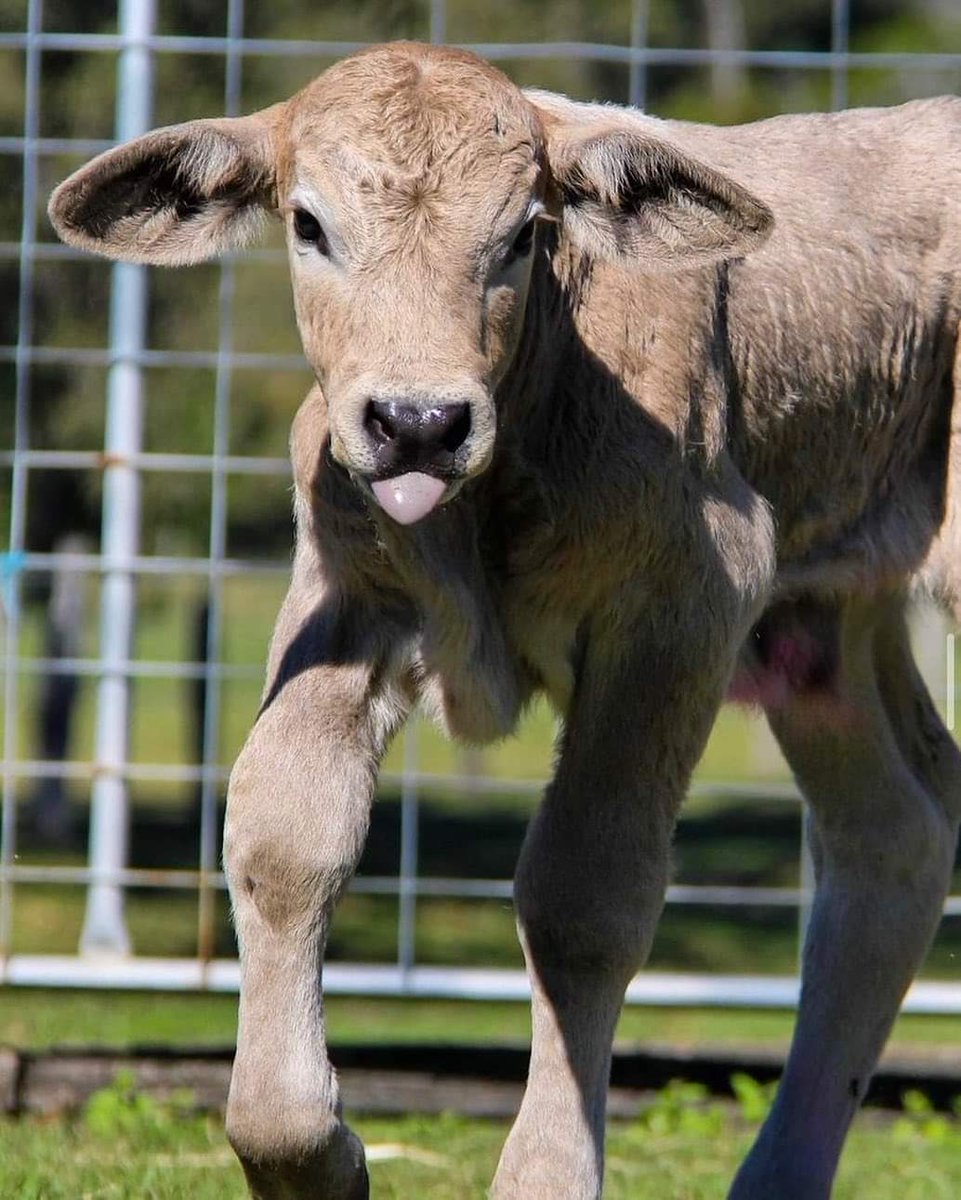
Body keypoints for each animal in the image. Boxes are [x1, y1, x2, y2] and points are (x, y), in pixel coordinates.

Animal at [48, 39, 961, 1200]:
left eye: (525, 232)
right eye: (308, 224)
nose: (418, 422)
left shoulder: (687, 600)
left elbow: (586, 894)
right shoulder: (346, 597)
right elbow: (284, 837)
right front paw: (311, 1149)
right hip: (823, 619)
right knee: (894, 829)